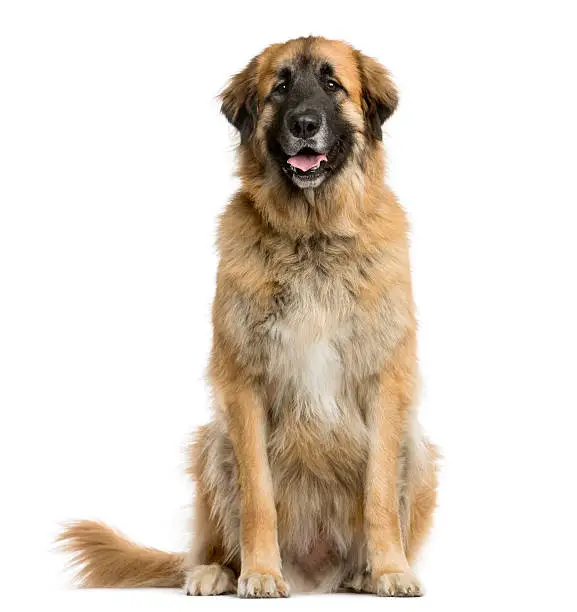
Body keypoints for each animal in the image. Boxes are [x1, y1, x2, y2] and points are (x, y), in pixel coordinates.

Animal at [59, 34, 436, 596]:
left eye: (332, 83)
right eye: (280, 87)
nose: (304, 124)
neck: (312, 237)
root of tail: (316, 574)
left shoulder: (385, 384)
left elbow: (380, 495)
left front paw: (391, 569)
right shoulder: (243, 386)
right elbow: (258, 497)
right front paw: (259, 572)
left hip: (421, 452)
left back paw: (363, 574)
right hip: (211, 445)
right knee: (207, 545)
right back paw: (216, 571)